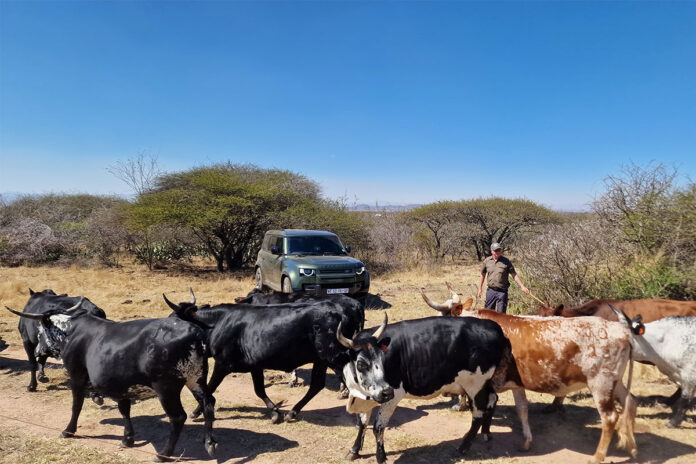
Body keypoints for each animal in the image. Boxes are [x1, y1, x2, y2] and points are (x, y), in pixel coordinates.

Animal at [5, 300, 218, 462]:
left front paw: (68, 430)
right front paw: (128, 438)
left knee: (178, 417)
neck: (71, 333)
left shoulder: (77, 376)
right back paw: (209, 442)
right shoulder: (120, 384)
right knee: (208, 402)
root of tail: (194, 331)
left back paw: (164, 454)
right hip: (197, 378)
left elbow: (76, 405)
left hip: (166, 388)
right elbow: (124, 409)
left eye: (40, 331)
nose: (36, 350)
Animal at [164, 292, 361, 424]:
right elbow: (259, 389)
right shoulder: (255, 365)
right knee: (317, 385)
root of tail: (341, 311)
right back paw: (292, 412)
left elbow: (210, 388)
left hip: (333, 357)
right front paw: (275, 412)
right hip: (321, 360)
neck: (217, 323)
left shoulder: (222, 364)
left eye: (174, 319)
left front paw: (196, 412)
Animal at [335, 314, 514, 464]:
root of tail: (494, 327)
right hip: (483, 383)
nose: (386, 392)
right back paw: (486, 433)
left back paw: (464, 446)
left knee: (478, 413)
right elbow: (362, 423)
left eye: (382, 359)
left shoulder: (394, 395)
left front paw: (381, 457)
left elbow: (378, 427)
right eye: (361, 364)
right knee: (493, 399)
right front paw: (354, 450)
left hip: (475, 384)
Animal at [422, 283, 640, 464]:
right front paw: (525, 441)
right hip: (615, 383)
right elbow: (522, 410)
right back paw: (631, 447)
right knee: (631, 402)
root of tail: (622, 330)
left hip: (601, 384)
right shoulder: (515, 383)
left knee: (610, 417)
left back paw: (598, 456)